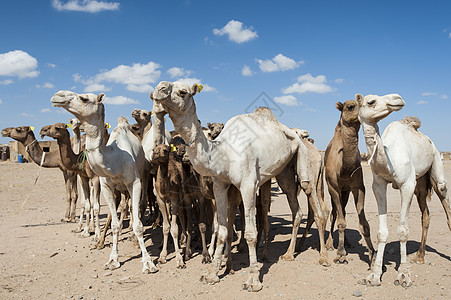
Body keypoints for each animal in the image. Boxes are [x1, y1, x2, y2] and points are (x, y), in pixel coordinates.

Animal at [51, 91, 159, 274]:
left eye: (84, 98)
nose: (58, 95)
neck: (114, 159)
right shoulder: (107, 186)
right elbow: (114, 223)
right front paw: (113, 259)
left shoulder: (134, 183)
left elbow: (138, 224)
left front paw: (148, 263)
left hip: (143, 175)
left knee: (139, 204)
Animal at [151, 81, 324, 292]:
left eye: (183, 92)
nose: (159, 88)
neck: (223, 153)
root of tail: (298, 133)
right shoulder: (220, 185)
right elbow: (222, 230)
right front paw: (212, 274)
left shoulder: (248, 185)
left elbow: (249, 233)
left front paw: (253, 280)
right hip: (285, 172)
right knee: (296, 208)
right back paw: (289, 253)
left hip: (302, 154)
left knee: (312, 198)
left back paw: (324, 256)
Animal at [324, 99, 376, 264]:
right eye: (350, 106)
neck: (344, 169)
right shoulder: (334, 187)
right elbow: (339, 220)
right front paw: (340, 254)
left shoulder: (358, 187)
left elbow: (364, 223)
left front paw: (373, 254)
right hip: (333, 189)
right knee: (334, 213)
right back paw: (330, 244)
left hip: (345, 191)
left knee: (344, 212)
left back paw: (346, 242)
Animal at [356, 92, 451, 288]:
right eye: (371, 101)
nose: (397, 98)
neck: (388, 159)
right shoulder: (378, 185)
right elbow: (381, 232)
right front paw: (374, 275)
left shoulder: (407, 184)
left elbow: (402, 230)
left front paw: (403, 275)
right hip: (420, 184)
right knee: (425, 215)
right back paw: (420, 256)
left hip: (435, 166)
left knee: (444, 199)